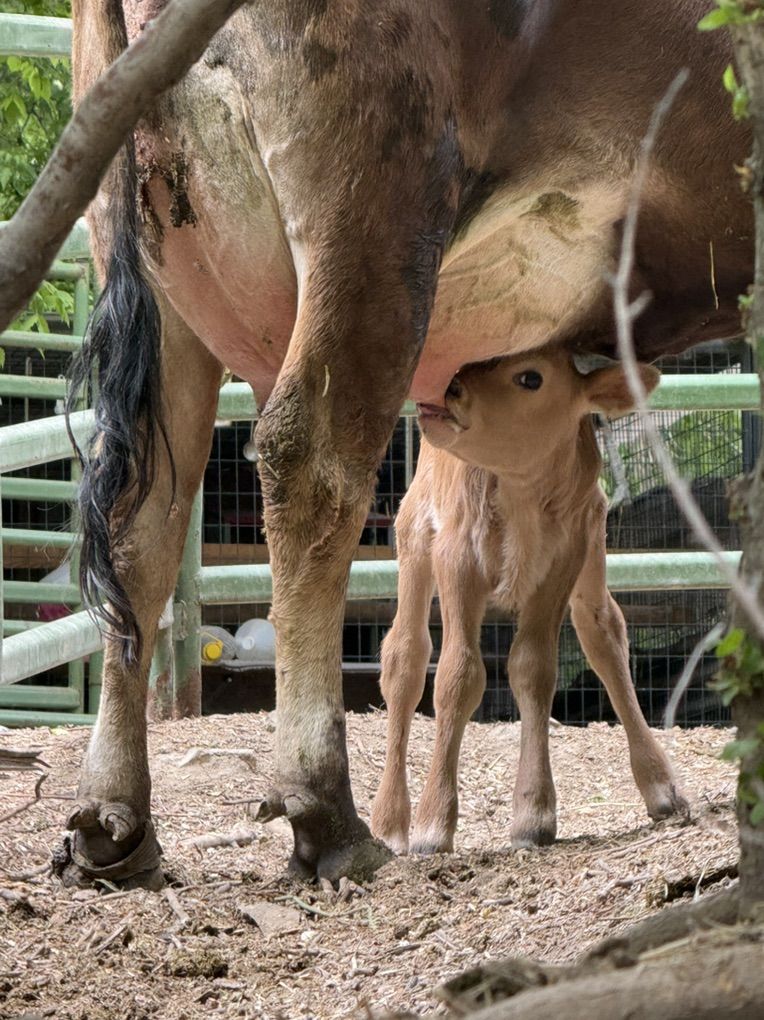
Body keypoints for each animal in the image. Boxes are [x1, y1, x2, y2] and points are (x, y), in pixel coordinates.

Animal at [370, 348, 687, 855]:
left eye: (531, 377)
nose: (451, 389)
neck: (520, 491)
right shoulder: (457, 557)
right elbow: (458, 675)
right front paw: (433, 822)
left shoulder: (563, 561)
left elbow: (533, 668)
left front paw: (534, 814)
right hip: (415, 533)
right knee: (406, 655)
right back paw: (389, 820)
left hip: (592, 551)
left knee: (603, 632)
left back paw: (659, 784)